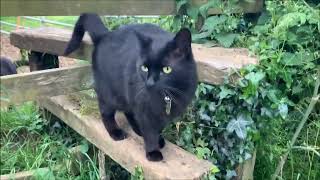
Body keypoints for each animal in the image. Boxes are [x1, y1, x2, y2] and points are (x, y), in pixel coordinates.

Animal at [64, 13, 198, 161]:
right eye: (144, 68)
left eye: (166, 69)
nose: (149, 83)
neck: (167, 96)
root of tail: (105, 34)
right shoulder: (144, 108)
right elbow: (150, 132)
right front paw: (153, 152)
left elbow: (158, 128)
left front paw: (159, 140)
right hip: (110, 92)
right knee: (106, 112)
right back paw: (115, 132)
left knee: (129, 111)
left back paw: (137, 130)